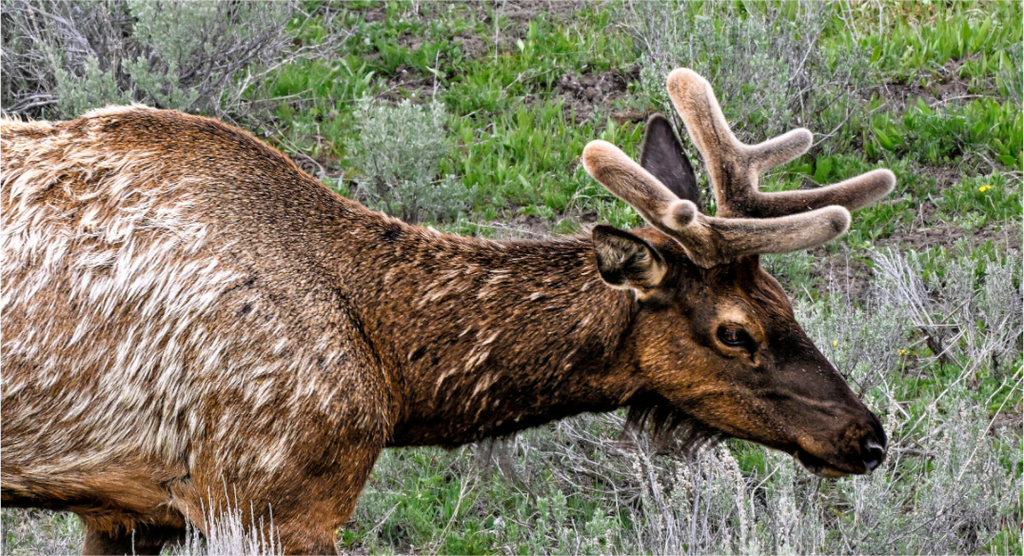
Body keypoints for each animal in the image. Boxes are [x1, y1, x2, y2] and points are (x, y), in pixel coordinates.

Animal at [0, 68, 894, 556]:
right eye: (735, 331)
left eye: (787, 301)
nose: (868, 437)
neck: (398, 380)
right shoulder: (271, 499)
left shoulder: (128, 508)